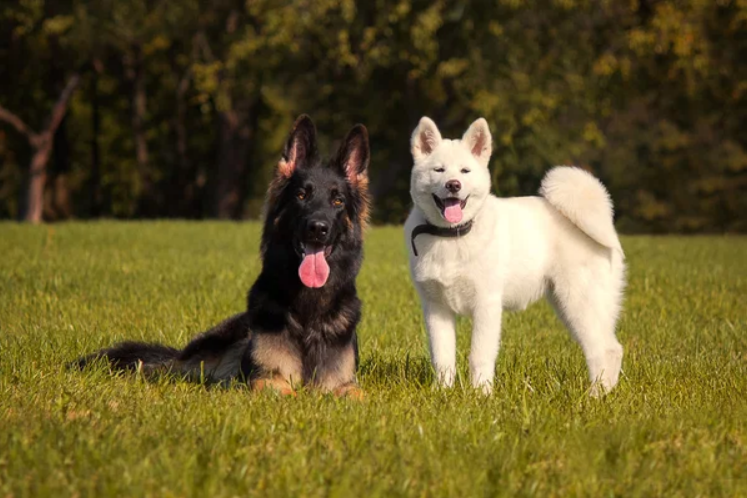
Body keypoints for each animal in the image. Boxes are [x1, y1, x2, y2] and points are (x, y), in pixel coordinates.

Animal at [404, 115, 624, 394]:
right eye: (439, 170)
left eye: (465, 171)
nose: (453, 185)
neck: (452, 236)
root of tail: (603, 221)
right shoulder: (436, 308)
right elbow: (442, 358)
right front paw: (442, 393)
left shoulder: (486, 304)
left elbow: (479, 356)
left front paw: (481, 395)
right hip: (572, 304)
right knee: (613, 348)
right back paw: (606, 394)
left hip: (579, 301)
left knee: (602, 350)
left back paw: (595, 396)